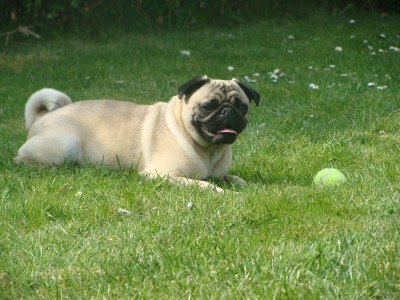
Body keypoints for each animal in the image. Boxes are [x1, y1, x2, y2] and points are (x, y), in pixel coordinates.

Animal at [14, 76, 260, 191]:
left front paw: (246, 185)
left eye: (242, 107)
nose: (228, 111)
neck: (208, 149)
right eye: (208, 106)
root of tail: (40, 118)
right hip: (65, 146)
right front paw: (220, 191)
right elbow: (202, 184)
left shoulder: (220, 173)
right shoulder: (163, 175)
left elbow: (234, 178)